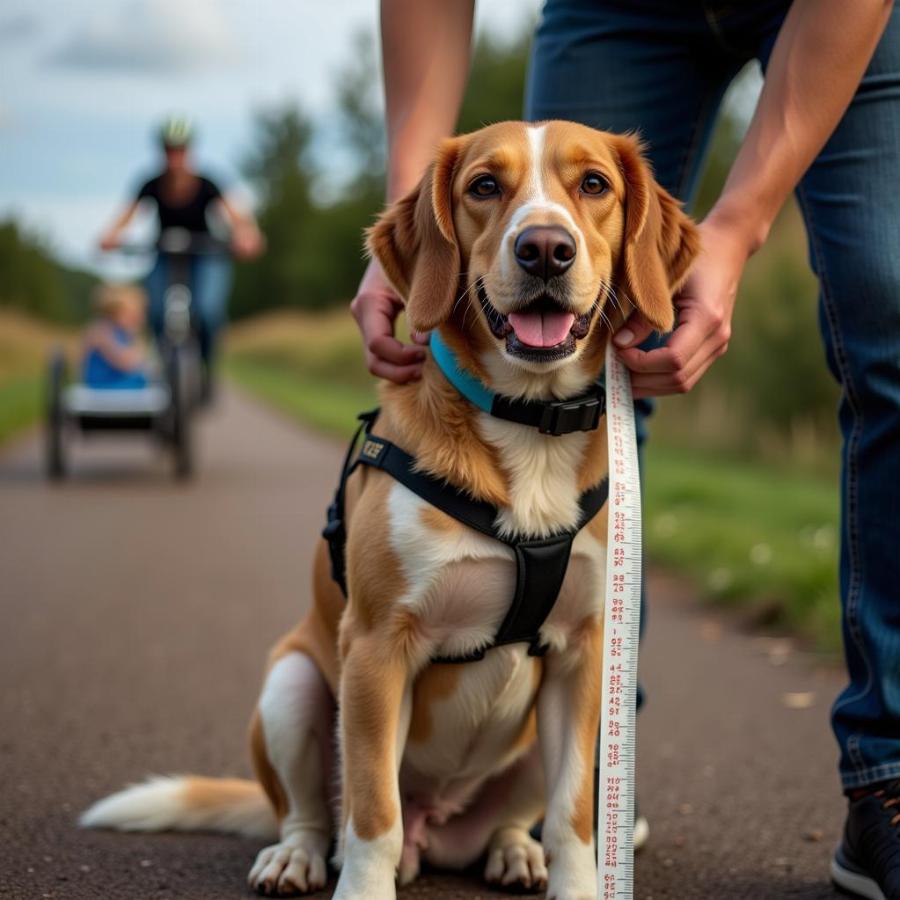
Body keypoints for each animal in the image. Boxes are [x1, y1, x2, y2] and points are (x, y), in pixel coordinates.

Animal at [81, 121, 700, 900]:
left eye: (594, 185)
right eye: (483, 186)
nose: (544, 249)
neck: (526, 424)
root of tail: (441, 829)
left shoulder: (582, 657)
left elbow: (573, 821)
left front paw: (574, 881)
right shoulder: (377, 649)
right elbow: (375, 813)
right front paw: (362, 885)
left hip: (531, 742)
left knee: (510, 822)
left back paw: (512, 852)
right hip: (291, 686)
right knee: (319, 816)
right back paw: (296, 857)